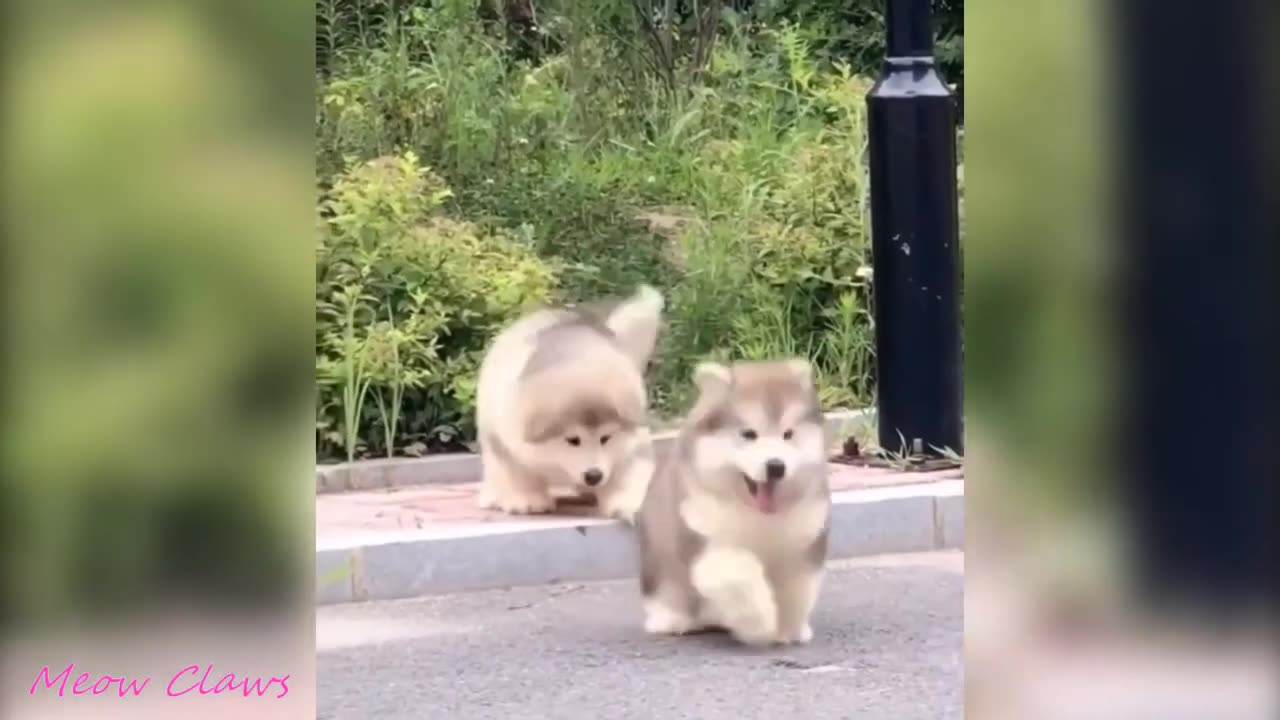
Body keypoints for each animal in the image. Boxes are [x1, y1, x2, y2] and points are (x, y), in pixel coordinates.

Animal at [476, 281, 665, 520]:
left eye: (606, 438)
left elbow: (628, 472)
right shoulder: (504, 438)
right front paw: (527, 500)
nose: (593, 476)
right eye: (573, 439)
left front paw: (626, 503)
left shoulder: (631, 444)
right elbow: (516, 472)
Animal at [637, 358, 834, 645]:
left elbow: (795, 590)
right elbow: (741, 579)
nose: (776, 466)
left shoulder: (803, 542)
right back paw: (673, 620)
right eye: (749, 434)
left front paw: (788, 629)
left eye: (788, 434)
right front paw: (761, 626)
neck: (759, 516)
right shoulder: (711, 546)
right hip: (661, 569)